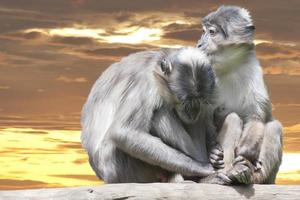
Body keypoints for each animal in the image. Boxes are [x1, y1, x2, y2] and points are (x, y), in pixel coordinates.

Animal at [81, 46, 219, 183]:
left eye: (201, 101)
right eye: (184, 102)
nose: (192, 112)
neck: (155, 65)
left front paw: (213, 151)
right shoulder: (144, 82)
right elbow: (123, 132)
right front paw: (198, 167)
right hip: (120, 167)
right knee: (159, 112)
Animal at [197, 5, 284, 184]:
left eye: (212, 32)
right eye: (203, 31)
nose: (199, 44)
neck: (229, 67)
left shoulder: (253, 71)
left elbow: (256, 117)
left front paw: (246, 156)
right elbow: (203, 116)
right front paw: (212, 152)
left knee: (274, 127)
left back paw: (249, 173)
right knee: (233, 118)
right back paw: (221, 176)